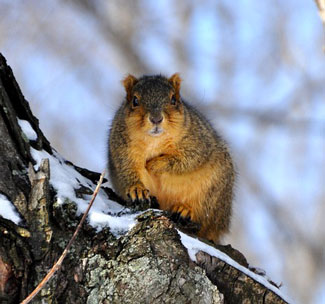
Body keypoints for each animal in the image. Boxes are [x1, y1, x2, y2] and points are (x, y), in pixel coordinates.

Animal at [107, 73, 234, 242]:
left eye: (173, 99)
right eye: (135, 101)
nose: (156, 119)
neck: (155, 140)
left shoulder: (199, 142)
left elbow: (188, 160)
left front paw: (154, 164)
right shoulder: (121, 147)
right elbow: (127, 169)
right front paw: (137, 189)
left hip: (214, 191)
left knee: (204, 218)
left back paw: (185, 210)